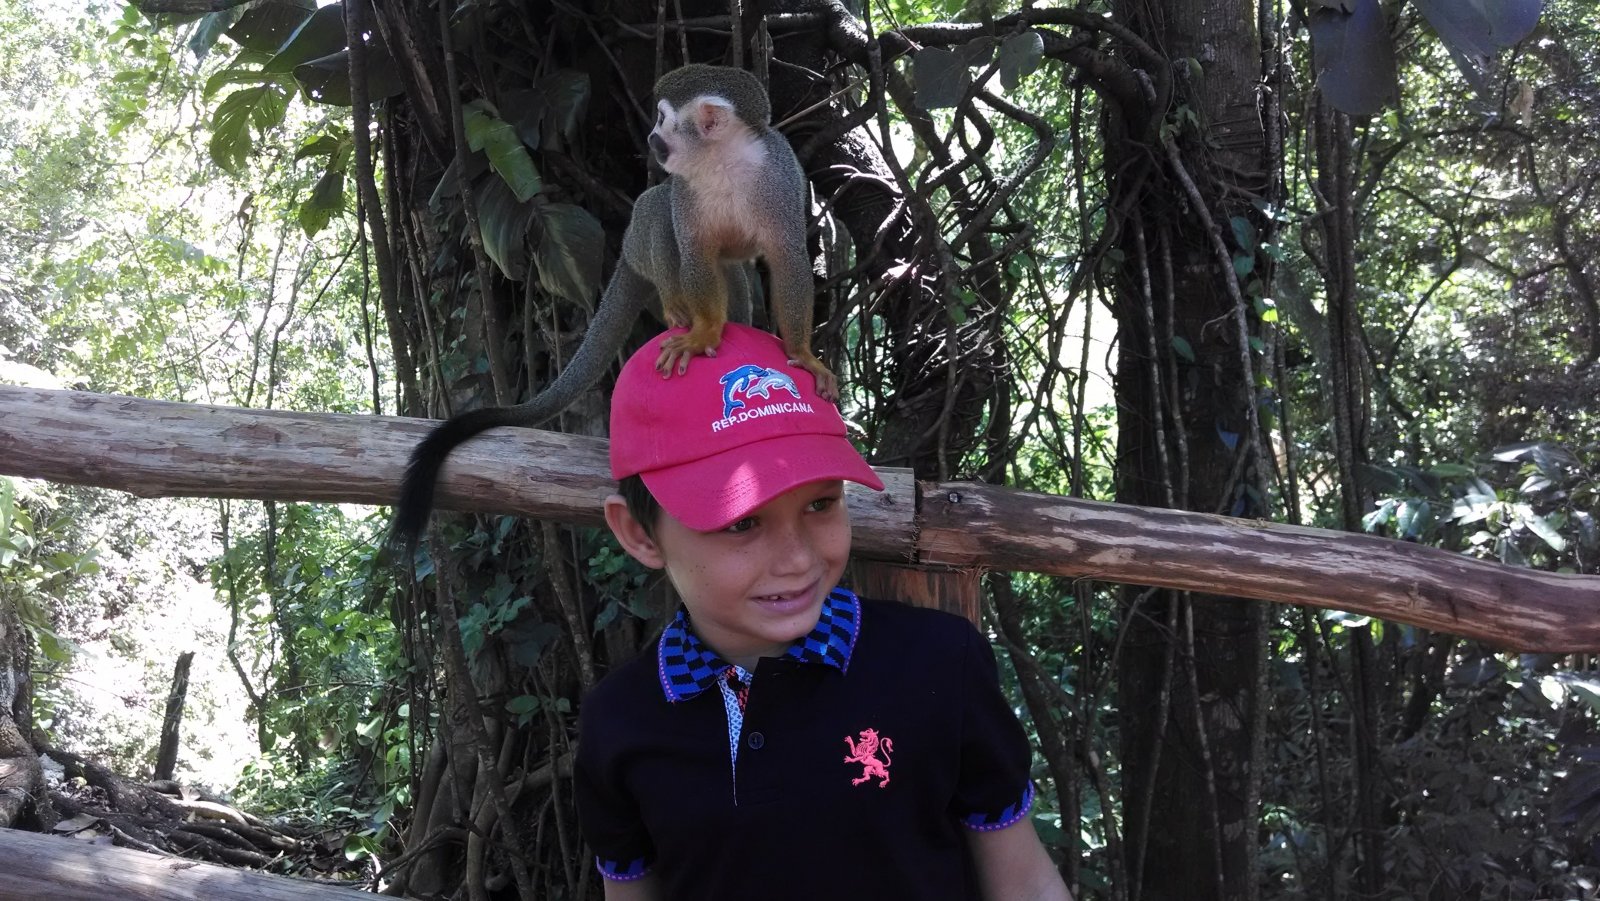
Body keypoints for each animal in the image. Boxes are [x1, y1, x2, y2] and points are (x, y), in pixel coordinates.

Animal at [390, 64, 836, 550]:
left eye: (662, 120)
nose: (650, 138)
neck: (723, 160)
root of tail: (623, 251)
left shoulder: (780, 173)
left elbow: (789, 257)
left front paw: (803, 355)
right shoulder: (687, 189)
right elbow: (693, 250)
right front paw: (703, 333)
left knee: (724, 264)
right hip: (640, 241)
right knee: (657, 210)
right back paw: (681, 311)